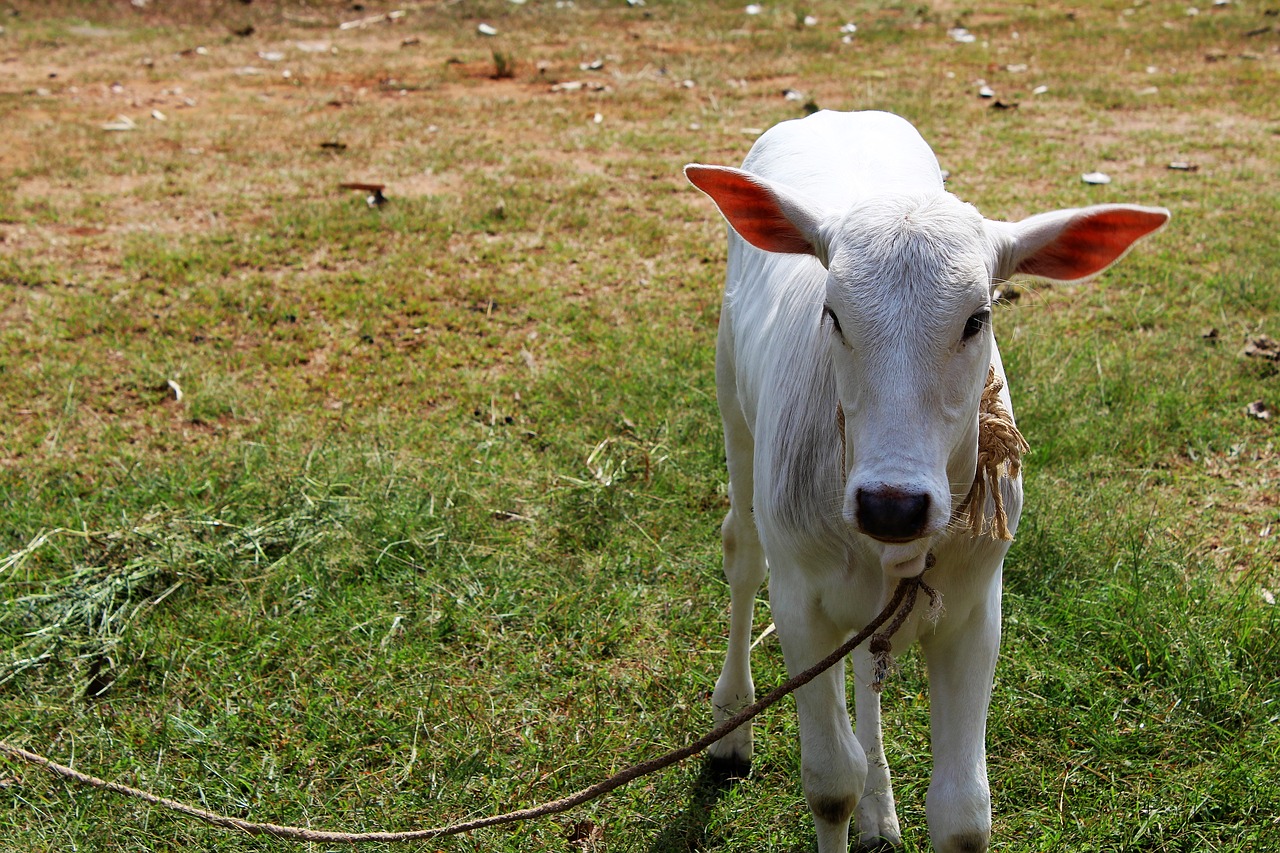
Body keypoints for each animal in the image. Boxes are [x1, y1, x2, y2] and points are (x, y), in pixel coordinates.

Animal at [691, 108, 1172, 850]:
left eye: (978, 317)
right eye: (832, 312)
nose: (892, 504)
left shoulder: (976, 606)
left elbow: (963, 813)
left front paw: (887, 804)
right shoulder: (799, 598)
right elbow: (828, 781)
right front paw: (841, 795)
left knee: (868, 653)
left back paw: (879, 807)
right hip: (732, 406)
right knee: (742, 553)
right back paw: (731, 723)